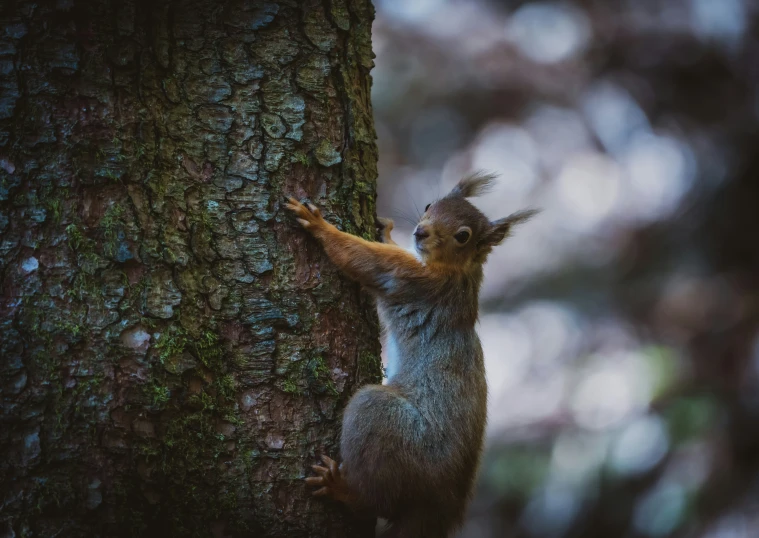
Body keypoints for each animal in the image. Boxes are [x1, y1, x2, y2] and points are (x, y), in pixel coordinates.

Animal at [286, 173, 540, 536]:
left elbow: (363, 259)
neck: (459, 271)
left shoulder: (411, 279)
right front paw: (385, 229)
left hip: (384, 420)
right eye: (430, 205)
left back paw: (342, 490)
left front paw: (318, 224)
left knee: (374, 500)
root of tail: (437, 509)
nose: (420, 232)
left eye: (463, 236)